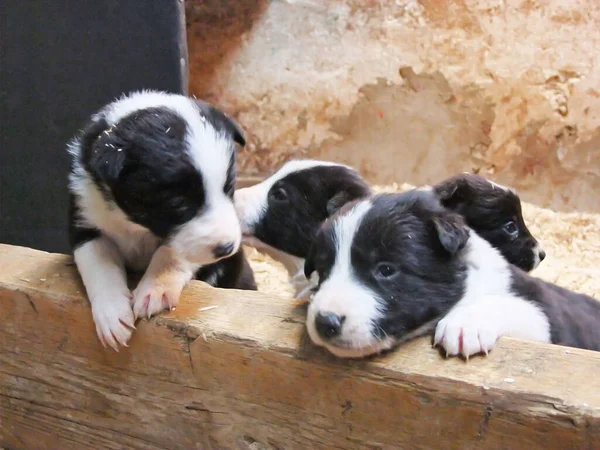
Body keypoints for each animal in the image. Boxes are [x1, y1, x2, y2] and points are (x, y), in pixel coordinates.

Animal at [68, 90, 255, 352]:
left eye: (228, 188)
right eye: (178, 203)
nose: (227, 248)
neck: (136, 224)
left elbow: (170, 253)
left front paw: (154, 291)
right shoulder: (86, 221)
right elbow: (100, 265)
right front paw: (112, 315)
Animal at [304, 190, 600, 358]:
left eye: (386, 270)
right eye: (323, 270)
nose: (325, 322)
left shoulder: (549, 319)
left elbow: (515, 307)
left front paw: (465, 326)